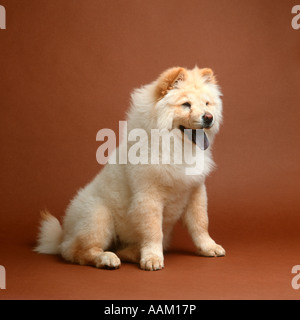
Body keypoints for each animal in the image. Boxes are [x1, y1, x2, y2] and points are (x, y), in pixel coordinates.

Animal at [35, 65, 225, 270]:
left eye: (207, 104)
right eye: (186, 105)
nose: (209, 117)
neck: (175, 146)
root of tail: (63, 235)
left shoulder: (195, 191)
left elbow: (201, 224)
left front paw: (209, 248)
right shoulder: (149, 196)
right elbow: (153, 231)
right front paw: (152, 258)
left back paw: (130, 253)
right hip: (99, 216)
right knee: (77, 251)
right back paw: (107, 258)